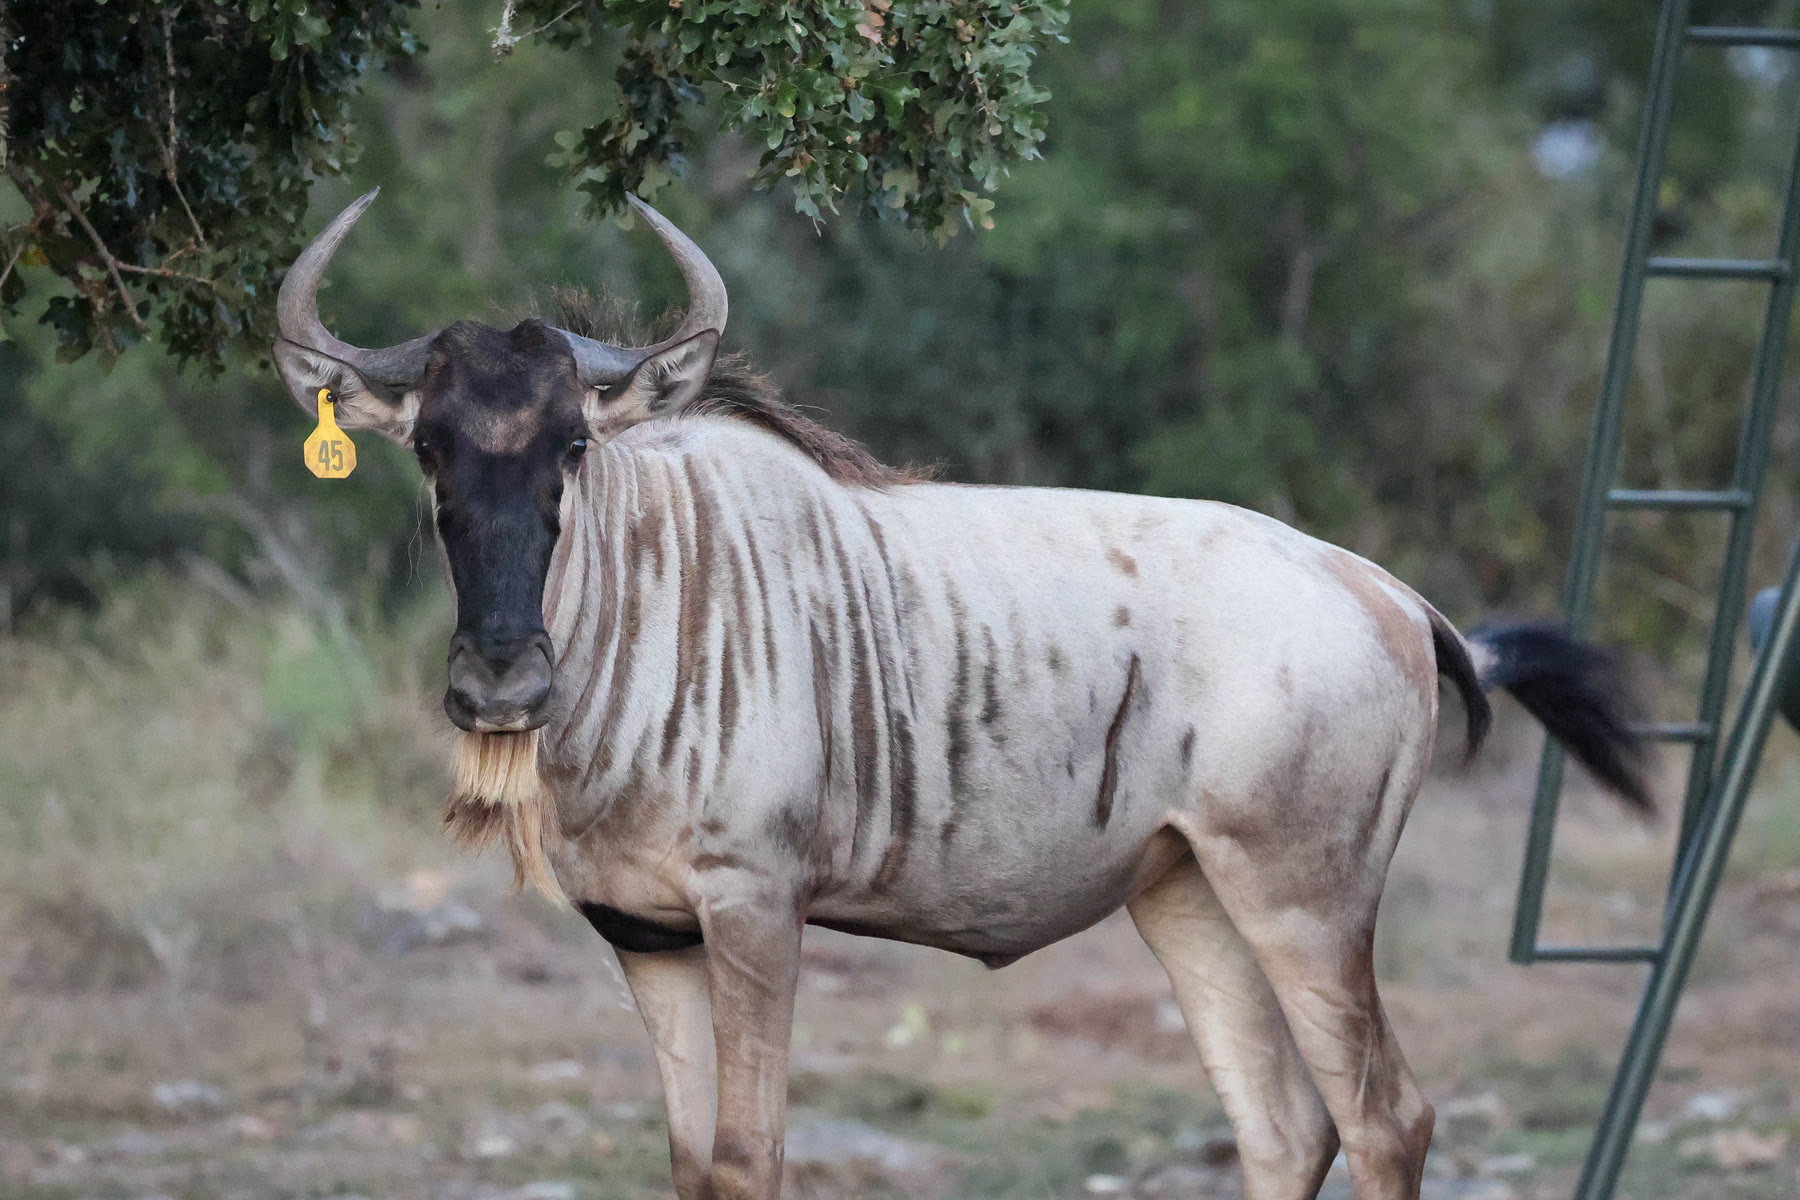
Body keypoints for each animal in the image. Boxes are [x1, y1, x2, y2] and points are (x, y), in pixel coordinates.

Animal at [272, 190, 1649, 1200]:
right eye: (431, 449)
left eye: (571, 445)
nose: (501, 680)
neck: (654, 605)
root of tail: (1393, 596)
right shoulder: (648, 938)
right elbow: (693, 1166)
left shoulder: (756, 913)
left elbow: (752, 1159)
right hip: (1192, 897)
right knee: (1283, 1126)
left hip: (1307, 902)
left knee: (1385, 1117)